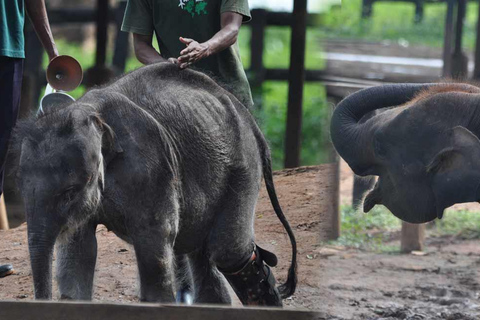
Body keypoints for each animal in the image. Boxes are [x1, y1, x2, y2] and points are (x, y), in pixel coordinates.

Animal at [11, 62, 296, 304]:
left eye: (70, 191)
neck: (91, 115)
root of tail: (252, 122)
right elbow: (78, 250)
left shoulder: (151, 166)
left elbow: (154, 239)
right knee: (201, 250)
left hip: (242, 166)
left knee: (228, 251)